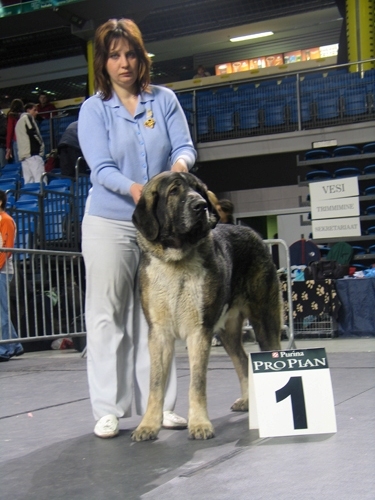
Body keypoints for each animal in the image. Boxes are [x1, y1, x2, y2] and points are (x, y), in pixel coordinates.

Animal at [131, 172, 280, 442]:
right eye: (174, 191)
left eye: (199, 190)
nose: (200, 205)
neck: (175, 261)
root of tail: (252, 232)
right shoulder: (159, 334)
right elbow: (155, 384)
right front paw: (148, 425)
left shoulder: (199, 331)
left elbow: (196, 383)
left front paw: (200, 424)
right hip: (228, 332)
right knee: (242, 360)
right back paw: (247, 401)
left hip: (265, 320)